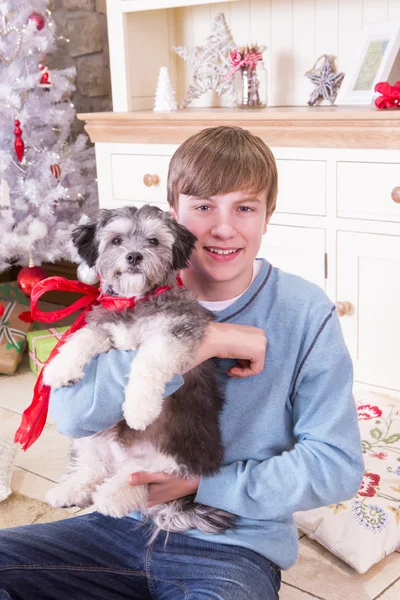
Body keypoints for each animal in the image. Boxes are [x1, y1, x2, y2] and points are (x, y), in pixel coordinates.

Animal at [44, 204, 234, 536]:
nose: (134, 256)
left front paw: (139, 409)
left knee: (138, 478)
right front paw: (60, 368)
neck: (135, 300)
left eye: (154, 241)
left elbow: (147, 361)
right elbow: (84, 336)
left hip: (172, 459)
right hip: (93, 435)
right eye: (117, 240)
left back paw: (111, 496)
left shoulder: (175, 332)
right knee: (94, 465)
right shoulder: (106, 328)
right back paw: (70, 490)